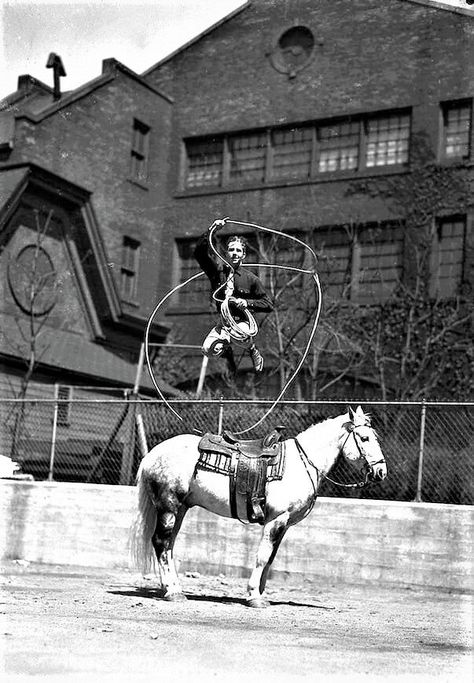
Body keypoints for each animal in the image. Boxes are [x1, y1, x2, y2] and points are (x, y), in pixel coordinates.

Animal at [130, 406, 386, 608]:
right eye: (364, 438)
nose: (381, 471)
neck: (300, 464)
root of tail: (152, 455)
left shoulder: (284, 524)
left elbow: (270, 558)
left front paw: (261, 593)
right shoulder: (277, 520)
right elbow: (263, 556)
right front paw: (254, 596)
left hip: (180, 509)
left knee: (169, 546)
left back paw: (171, 587)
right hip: (168, 506)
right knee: (161, 543)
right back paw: (173, 591)